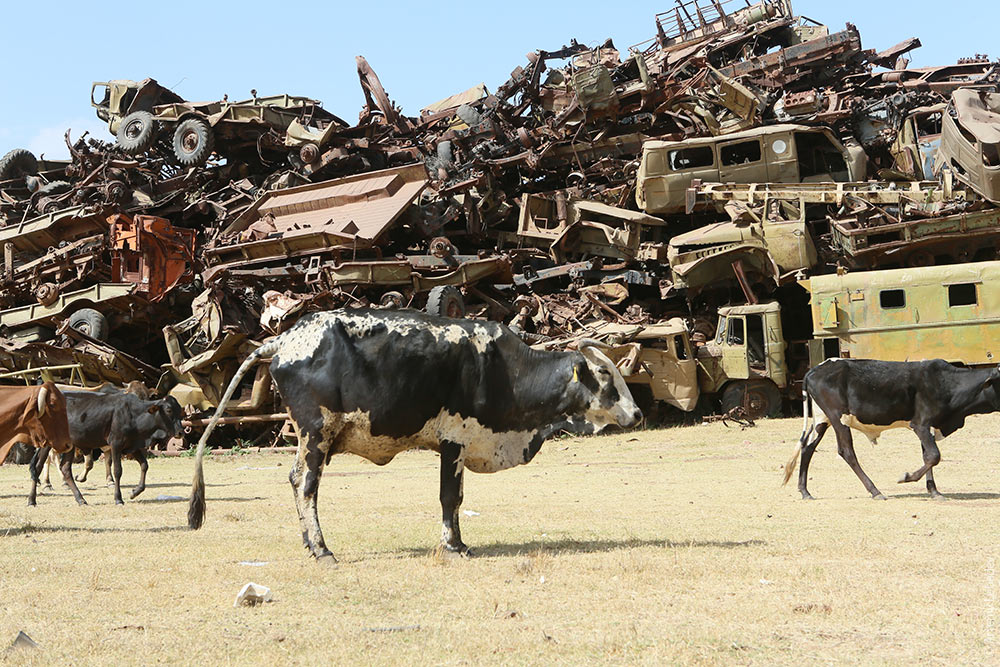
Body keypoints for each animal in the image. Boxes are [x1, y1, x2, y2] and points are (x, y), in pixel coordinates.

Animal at [188, 308, 640, 564]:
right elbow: (449, 498)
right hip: (316, 433)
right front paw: (453, 546)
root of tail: (284, 339)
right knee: (306, 485)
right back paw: (322, 549)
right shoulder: (454, 440)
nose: (636, 413)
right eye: (605, 375)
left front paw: (459, 542)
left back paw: (310, 544)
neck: (504, 371)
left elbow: (457, 499)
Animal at [780, 360, 1000, 500]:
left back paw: (805, 491)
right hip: (838, 418)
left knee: (807, 447)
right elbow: (933, 456)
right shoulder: (920, 424)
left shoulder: (927, 427)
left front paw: (934, 491)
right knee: (847, 452)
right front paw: (907, 477)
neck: (946, 383)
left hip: (821, 419)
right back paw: (875, 491)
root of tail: (815, 369)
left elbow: (927, 456)